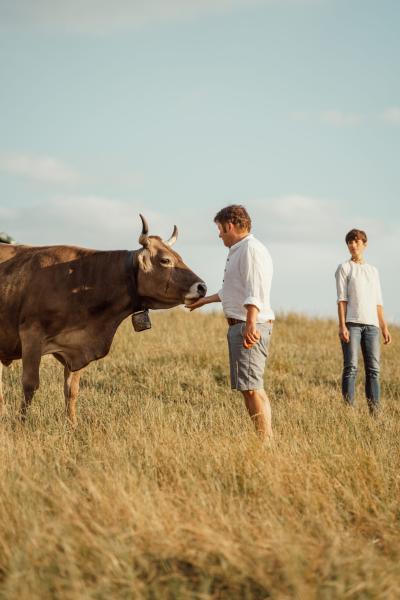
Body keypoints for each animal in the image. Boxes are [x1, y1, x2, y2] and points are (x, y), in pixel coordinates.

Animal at [0, 213, 206, 424]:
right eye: (165, 260)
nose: (202, 287)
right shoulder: (31, 335)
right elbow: (30, 384)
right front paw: (22, 422)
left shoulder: (76, 347)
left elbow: (71, 390)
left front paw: (72, 423)